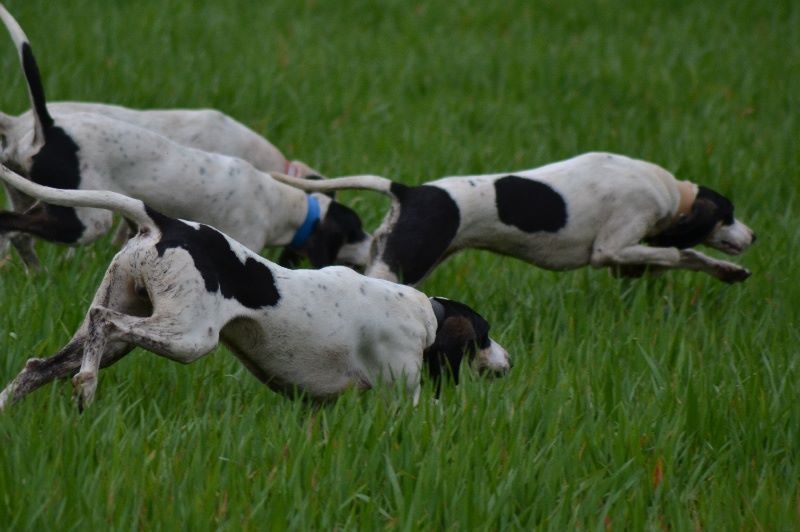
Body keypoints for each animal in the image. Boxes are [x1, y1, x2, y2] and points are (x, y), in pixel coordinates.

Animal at [0, 166, 512, 412]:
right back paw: (85, 387)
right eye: (484, 335)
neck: (424, 313)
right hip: (188, 338)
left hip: (124, 332)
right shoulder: (403, 393)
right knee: (102, 324)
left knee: (38, 366)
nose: (509, 362)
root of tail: (163, 222)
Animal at [270, 152, 756, 286]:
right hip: (402, 266)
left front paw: (730, 271)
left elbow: (693, 257)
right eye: (729, 213)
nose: (753, 235)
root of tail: (408, 190)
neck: (672, 192)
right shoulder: (611, 248)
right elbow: (678, 253)